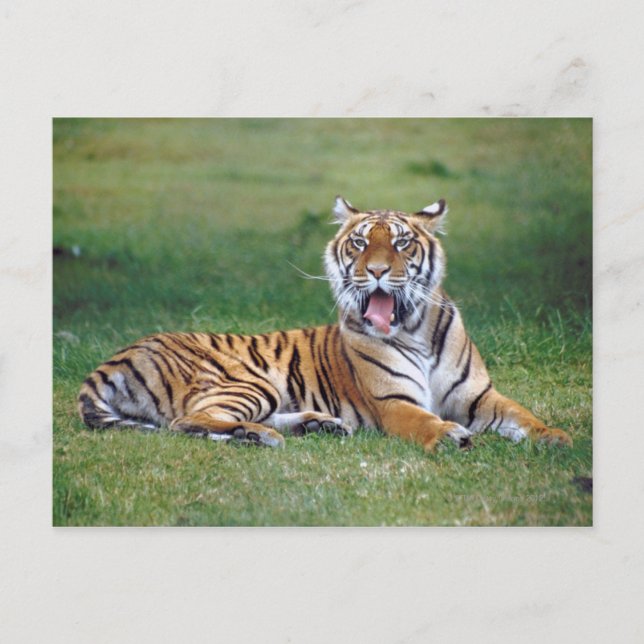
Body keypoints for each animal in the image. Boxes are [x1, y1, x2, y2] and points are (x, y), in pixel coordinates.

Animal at [78, 196, 572, 452]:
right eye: (359, 242)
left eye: (401, 243)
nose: (376, 270)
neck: (415, 327)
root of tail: (111, 360)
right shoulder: (395, 402)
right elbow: (424, 421)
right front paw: (449, 434)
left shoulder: (480, 397)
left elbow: (522, 414)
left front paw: (556, 436)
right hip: (248, 381)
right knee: (189, 421)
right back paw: (256, 435)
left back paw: (318, 425)